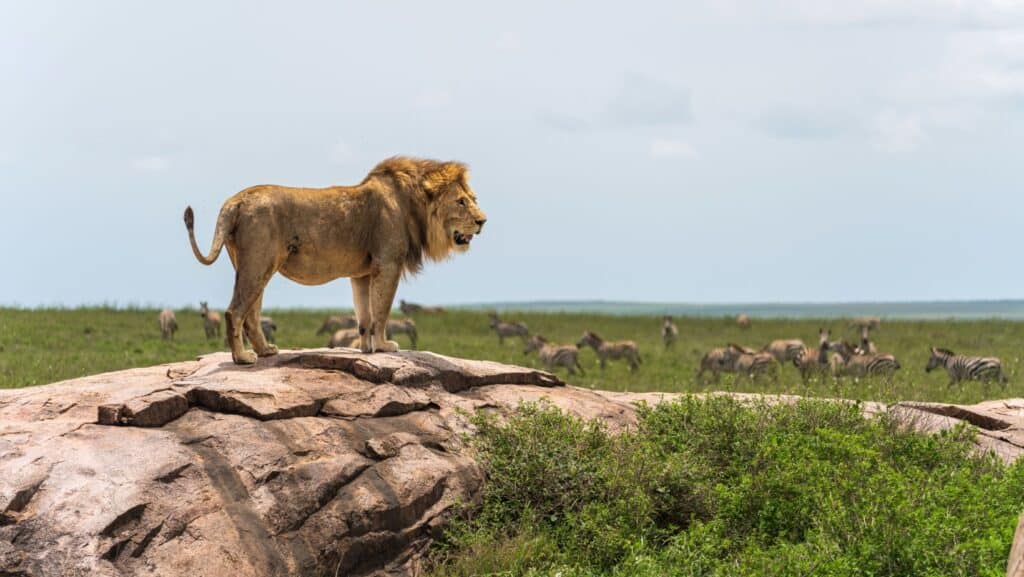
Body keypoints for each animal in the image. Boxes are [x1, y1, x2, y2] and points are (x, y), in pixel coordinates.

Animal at [184, 156, 487, 365]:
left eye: (474, 198)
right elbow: (382, 310)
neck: (414, 205)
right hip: (258, 263)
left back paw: (266, 351)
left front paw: (367, 349)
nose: (483, 221)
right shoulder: (388, 264)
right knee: (235, 311)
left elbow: (365, 314)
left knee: (251, 314)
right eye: (461, 202)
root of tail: (236, 199)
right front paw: (385, 345)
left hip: (253, 264)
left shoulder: (362, 273)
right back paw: (243, 358)